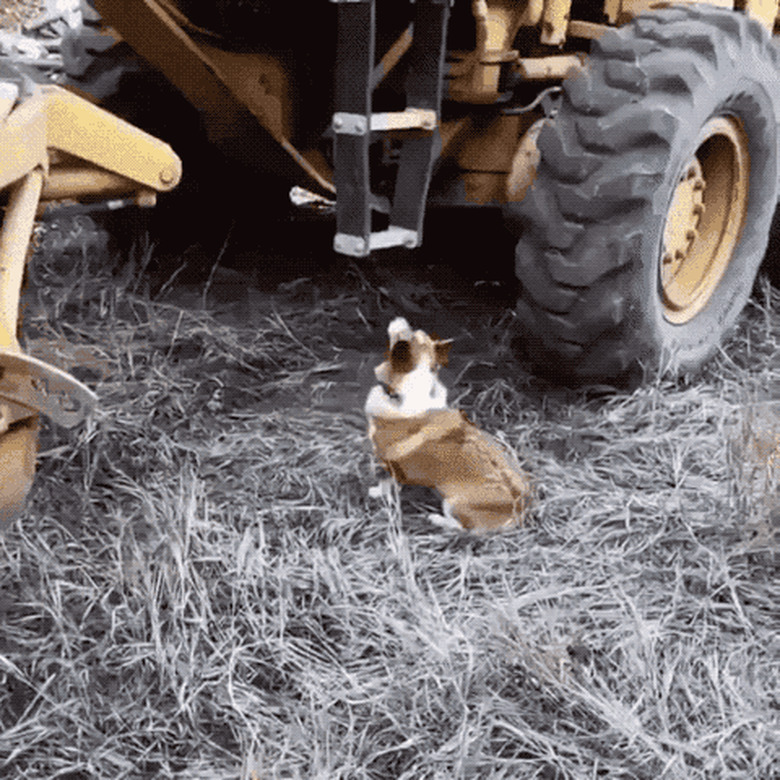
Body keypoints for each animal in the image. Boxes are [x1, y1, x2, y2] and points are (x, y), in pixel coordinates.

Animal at [366, 316, 532, 532]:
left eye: (401, 335)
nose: (399, 319)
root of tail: (519, 511)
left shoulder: (387, 463)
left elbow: (385, 484)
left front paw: (377, 493)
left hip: (452, 502)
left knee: (462, 528)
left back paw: (436, 519)